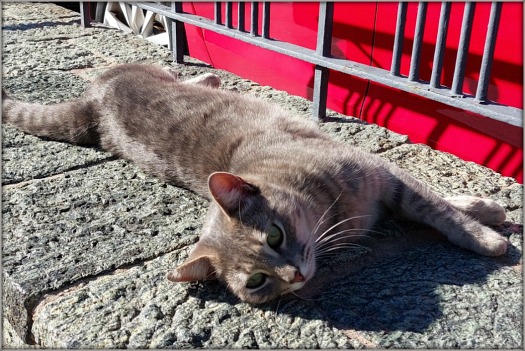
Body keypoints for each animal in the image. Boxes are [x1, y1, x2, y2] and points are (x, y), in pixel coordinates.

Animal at [1, 64, 508, 304]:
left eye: (275, 235)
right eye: (258, 281)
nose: (296, 275)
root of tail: (94, 102)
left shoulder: (379, 171)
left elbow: (438, 207)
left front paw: (484, 226)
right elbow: (432, 204)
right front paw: (485, 221)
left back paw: (208, 74)